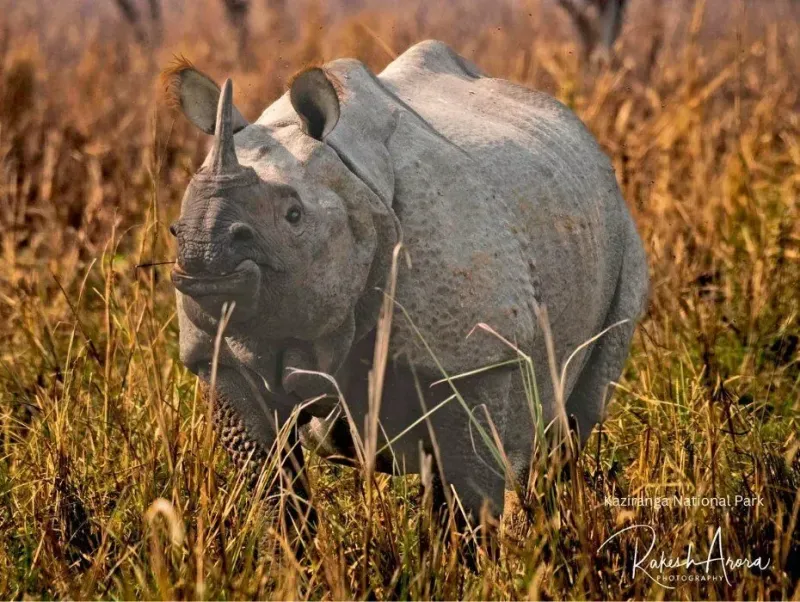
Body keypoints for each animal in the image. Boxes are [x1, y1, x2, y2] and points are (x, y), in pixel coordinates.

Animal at [167, 40, 648, 540]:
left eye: (294, 216)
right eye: (174, 226)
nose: (202, 255)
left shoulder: (474, 359)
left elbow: (465, 492)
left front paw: (454, 558)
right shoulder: (226, 353)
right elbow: (271, 481)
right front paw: (293, 555)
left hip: (618, 226)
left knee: (568, 425)